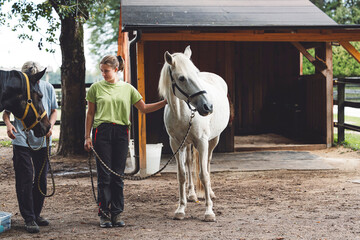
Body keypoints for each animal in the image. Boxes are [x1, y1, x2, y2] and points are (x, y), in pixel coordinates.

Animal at [158, 45, 231, 221]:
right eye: (181, 78)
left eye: (196, 73)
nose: (208, 107)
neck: (182, 113)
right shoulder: (175, 144)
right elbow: (182, 174)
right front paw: (180, 209)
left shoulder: (202, 142)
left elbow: (203, 174)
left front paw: (209, 211)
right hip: (187, 145)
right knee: (189, 163)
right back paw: (191, 194)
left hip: (213, 140)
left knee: (208, 163)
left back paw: (209, 192)